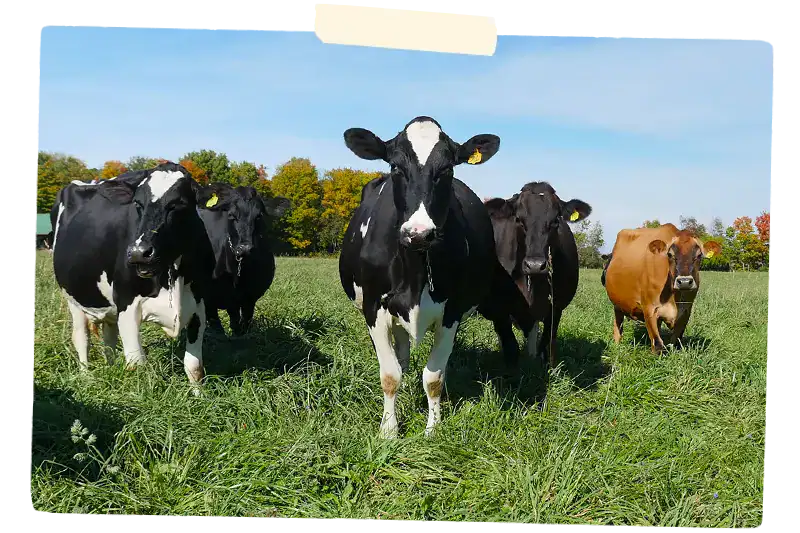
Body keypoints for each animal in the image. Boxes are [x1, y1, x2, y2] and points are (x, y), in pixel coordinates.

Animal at [50, 162, 215, 391]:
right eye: (138, 203)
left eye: (178, 204)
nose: (138, 253)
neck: (173, 275)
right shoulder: (127, 304)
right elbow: (137, 365)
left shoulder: (199, 305)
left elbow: (194, 366)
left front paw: (198, 395)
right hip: (73, 298)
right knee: (81, 338)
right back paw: (86, 377)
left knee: (109, 338)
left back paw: (110, 368)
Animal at [195, 182, 291, 335]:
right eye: (231, 215)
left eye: (259, 216)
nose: (245, 248)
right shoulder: (209, 295)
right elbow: (218, 325)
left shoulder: (250, 296)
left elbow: (243, 322)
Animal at [338, 116, 536, 439]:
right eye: (395, 167)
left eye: (447, 169)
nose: (418, 233)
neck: (415, 270)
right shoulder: (373, 307)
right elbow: (390, 374)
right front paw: (388, 430)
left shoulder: (451, 311)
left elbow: (433, 377)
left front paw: (433, 428)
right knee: (401, 356)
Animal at [483, 181, 592, 369]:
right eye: (518, 219)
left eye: (556, 221)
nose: (535, 265)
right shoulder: (500, 309)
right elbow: (510, 347)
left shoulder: (556, 308)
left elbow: (545, 344)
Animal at [602, 223, 722, 353]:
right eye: (670, 254)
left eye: (699, 255)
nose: (684, 282)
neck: (675, 298)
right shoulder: (649, 309)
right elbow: (658, 344)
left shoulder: (686, 311)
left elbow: (675, 342)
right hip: (617, 305)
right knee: (618, 326)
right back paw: (617, 346)